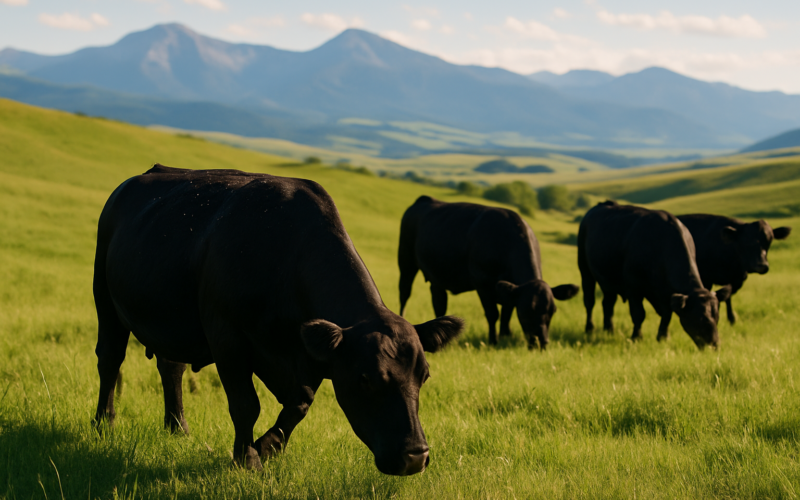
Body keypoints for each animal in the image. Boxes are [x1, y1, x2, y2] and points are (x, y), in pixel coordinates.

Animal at [92, 165, 464, 475]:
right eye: (366, 379)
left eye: (424, 376)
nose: (415, 457)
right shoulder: (227, 336)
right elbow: (246, 405)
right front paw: (247, 458)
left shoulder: (309, 355)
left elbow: (299, 404)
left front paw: (267, 447)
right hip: (105, 299)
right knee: (110, 359)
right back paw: (103, 424)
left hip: (173, 321)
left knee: (171, 367)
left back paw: (178, 428)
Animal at [398, 196, 579, 350]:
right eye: (525, 312)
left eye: (552, 311)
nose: (541, 342)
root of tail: (424, 199)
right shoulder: (483, 283)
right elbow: (493, 314)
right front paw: (494, 341)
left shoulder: (509, 289)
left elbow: (506, 312)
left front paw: (507, 336)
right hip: (405, 262)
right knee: (404, 294)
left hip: (437, 276)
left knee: (439, 303)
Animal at [577, 201, 731, 348]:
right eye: (699, 318)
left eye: (717, 317)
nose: (714, 345)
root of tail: (600, 205)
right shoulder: (634, 289)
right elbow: (639, 314)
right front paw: (636, 338)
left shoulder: (665, 294)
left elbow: (667, 314)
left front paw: (663, 337)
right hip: (585, 271)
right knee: (589, 301)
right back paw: (590, 328)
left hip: (607, 282)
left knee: (608, 303)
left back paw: (609, 329)